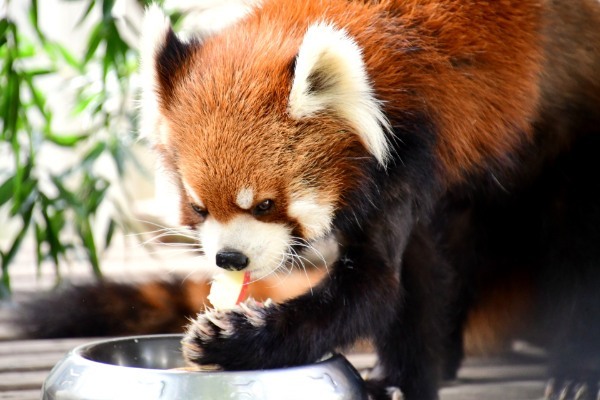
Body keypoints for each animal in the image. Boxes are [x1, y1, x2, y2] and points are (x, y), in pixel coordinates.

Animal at [18, 0, 600, 398]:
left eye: (265, 205)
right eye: (200, 208)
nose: (231, 259)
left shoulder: (408, 154)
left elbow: (372, 288)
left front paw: (233, 338)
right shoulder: (413, 165)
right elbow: (410, 274)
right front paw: (403, 378)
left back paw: (574, 371)